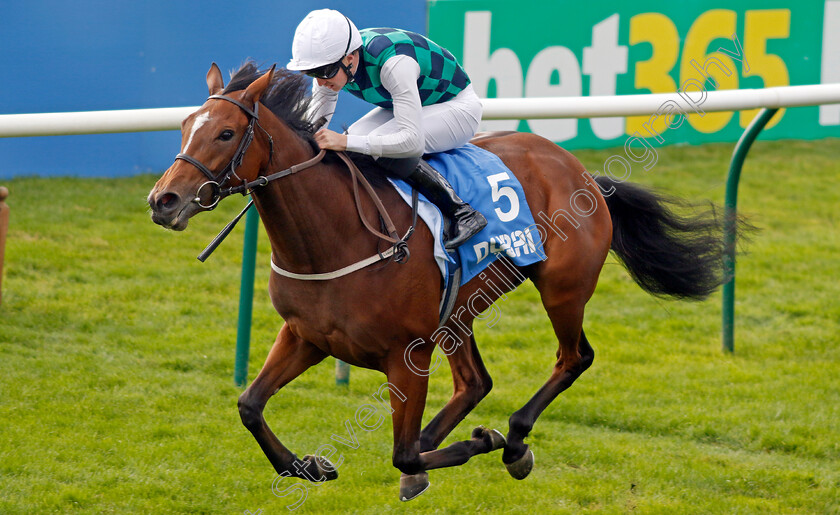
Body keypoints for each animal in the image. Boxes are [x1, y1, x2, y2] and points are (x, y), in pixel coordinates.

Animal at [148, 62, 724, 502]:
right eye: (184, 126)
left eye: (226, 133)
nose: (163, 201)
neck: (334, 236)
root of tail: (583, 173)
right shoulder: (306, 336)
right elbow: (249, 406)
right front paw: (309, 466)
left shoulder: (408, 353)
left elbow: (401, 451)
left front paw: (484, 443)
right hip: (462, 307)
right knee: (475, 382)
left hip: (562, 288)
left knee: (572, 357)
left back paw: (514, 442)